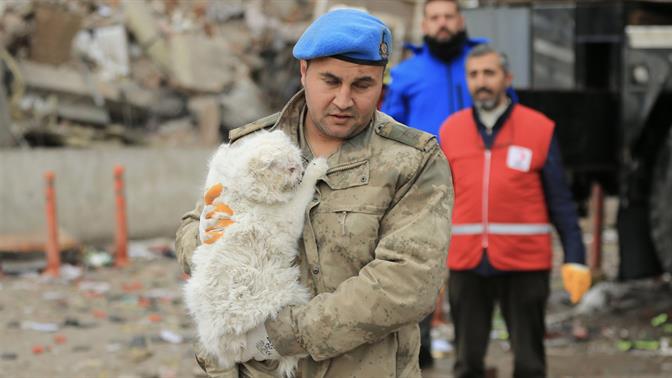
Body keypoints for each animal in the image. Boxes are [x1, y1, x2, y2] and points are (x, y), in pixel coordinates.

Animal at [184, 129, 326, 376]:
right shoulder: (288, 217)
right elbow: (304, 192)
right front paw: (316, 168)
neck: (243, 191)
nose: (300, 170)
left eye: (298, 162)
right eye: (291, 168)